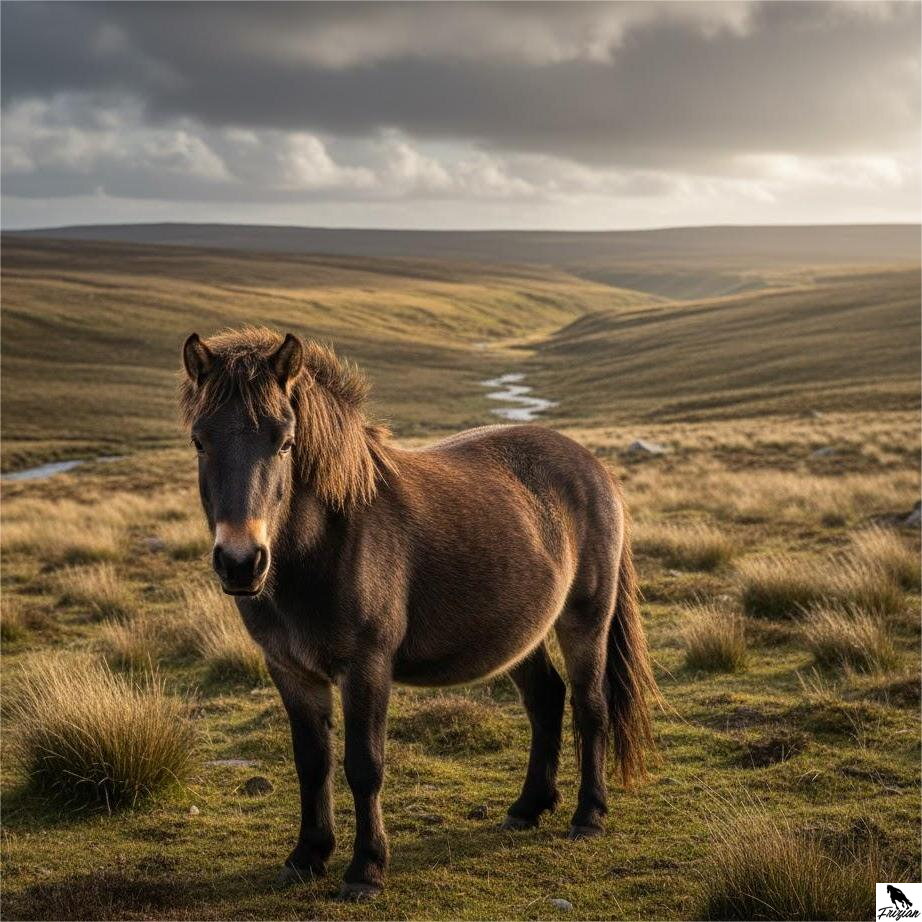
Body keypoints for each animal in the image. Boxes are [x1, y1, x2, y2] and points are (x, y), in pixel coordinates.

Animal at [180, 326, 658, 900]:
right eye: (200, 441)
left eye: (285, 442)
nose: (241, 562)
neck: (327, 543)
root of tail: (595, 467)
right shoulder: (290, 671)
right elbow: (312, 763)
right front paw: (307, 856)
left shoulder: (366, 668)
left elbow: (364, 766)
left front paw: (365, 869)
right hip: (521, 633)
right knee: (546, 700)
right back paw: (527, 807)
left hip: (585, 619)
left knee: (590, 707)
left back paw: (588, 816)